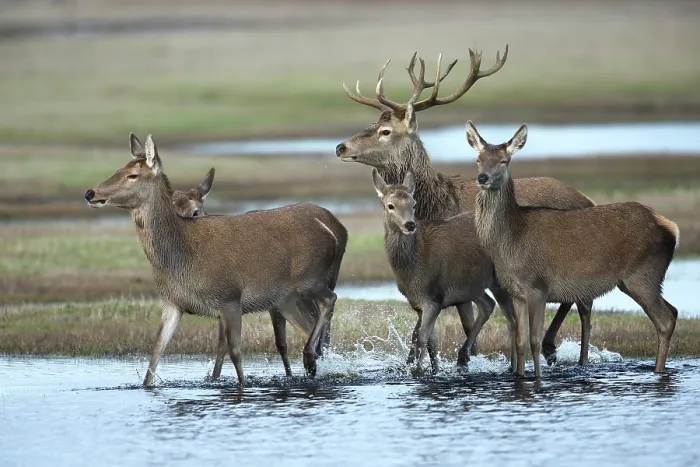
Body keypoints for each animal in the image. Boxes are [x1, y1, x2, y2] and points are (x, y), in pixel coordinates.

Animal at [169, 166, 347, 379]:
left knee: (323, 317)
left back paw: (313, 358)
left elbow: (279, 343)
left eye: (195, 211)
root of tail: (339, 228)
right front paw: (214, 377)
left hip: (319, 281)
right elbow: (222, 344)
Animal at [371, 169, 518, 373]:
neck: (411, 272)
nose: (410, 224)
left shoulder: (433, 299)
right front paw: (434, 371)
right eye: (390, 205)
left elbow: (421, 341)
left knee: (512, 320)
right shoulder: (420, 303)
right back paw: (463, 357)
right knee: (488, 305)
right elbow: (431, 343)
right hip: (471, 284)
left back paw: (512, 367)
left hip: (498, 278)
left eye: (414, 203)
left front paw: (418, 372)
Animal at [466, 120, 679, 378]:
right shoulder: (516, 292)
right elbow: (519, 341)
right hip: (639, 279)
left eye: (504, 161)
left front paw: (538, 379)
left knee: (665, 320)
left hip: (643, 274)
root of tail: (670, 226)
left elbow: (534, 341)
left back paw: (657, 371)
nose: (483, 177)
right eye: (478, 159)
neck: (509, 243)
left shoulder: (538, 287)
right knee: (673, 311)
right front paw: (519, 375)